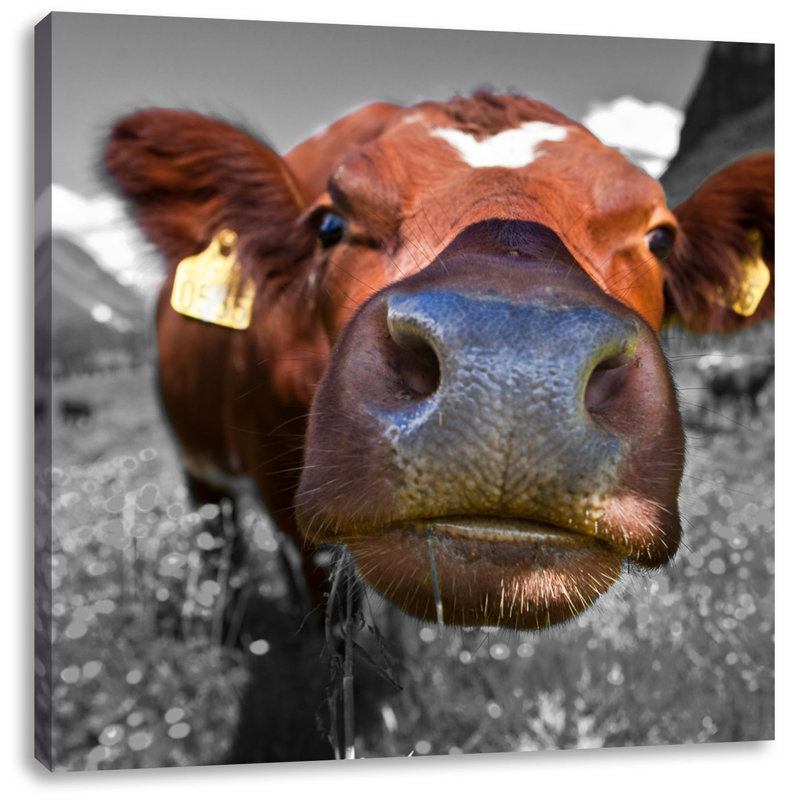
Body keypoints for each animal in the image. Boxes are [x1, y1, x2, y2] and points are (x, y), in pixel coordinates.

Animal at [104, 90, 773, 632]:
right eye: (329, 225)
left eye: (660, 238)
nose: (513, 366)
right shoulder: (285, 497)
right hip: (202, 468)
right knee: (221, 548)